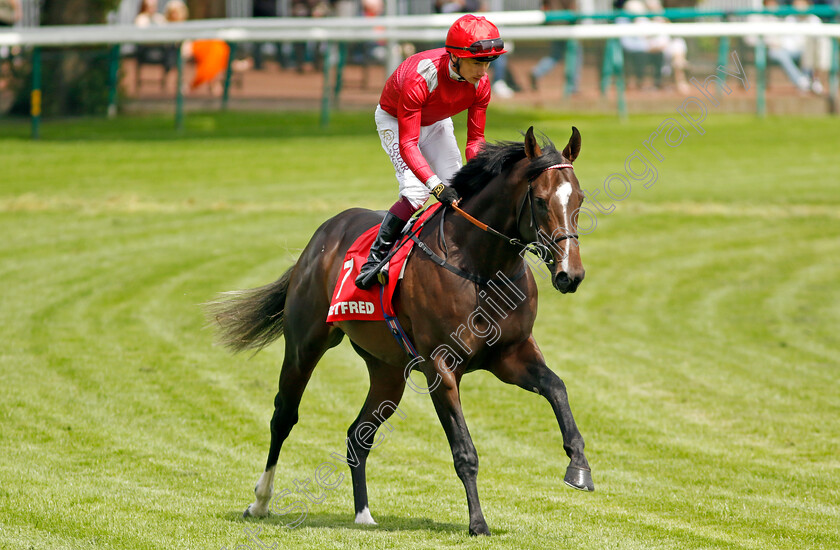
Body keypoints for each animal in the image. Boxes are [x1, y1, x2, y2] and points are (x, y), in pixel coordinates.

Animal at [207, 127, 592, 536]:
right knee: (284, 416)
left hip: (387, 371)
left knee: (358, 435)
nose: (570, 275)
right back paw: (261, 501)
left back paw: (363, 513)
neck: (480, 268)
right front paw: (478, 522)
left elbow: (557, 388)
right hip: (304, 345)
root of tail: (320, 238)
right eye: (540, 201)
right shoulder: (441, 366)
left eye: (580, 198)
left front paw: (579, 467)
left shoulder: (511, 354)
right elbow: (464, 451)